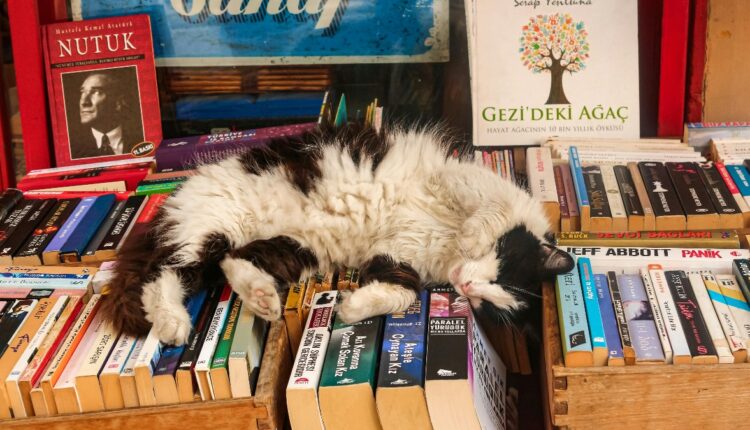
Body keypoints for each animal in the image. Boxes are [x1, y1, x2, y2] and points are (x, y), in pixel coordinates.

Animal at [100, 124, 574, 345]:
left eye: (490, 303)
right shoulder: (461, 180)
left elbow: (401, 293)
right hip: (214, 225)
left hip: (292, 248)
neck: (445, 246)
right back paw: (173, 323)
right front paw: (475, 236)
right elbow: (491, 212)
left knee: (232, 263)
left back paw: (262, 298)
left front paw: (350, 308)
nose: (469, 287)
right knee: (161, 274)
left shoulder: (397, 260)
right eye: (500, 275)